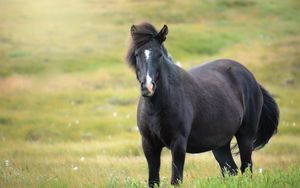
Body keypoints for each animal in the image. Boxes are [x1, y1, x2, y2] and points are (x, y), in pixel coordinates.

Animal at [125, 22, 278, 187]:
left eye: (159, 55)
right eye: (137, 54)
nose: (148, 87)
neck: (156, 108)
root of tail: (251, 78)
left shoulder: (178, 144)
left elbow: (176, 180)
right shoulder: (149, 145)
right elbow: (153, 181)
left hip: (246, 137)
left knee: (246, 168)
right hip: (220, 145)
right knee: (231, 170)